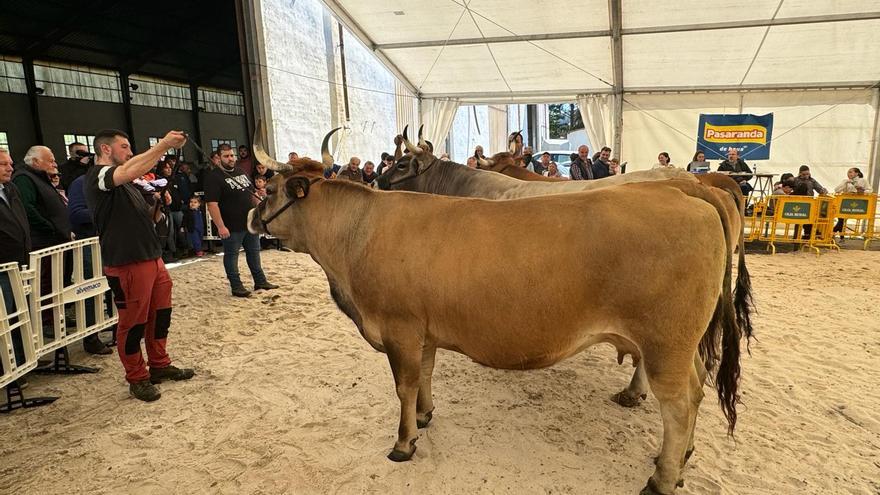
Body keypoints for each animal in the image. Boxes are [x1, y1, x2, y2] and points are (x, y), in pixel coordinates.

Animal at [248, 129, 744, 495]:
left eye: (269, 188)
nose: (252, 219)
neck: (359, 232)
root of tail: (689, 193)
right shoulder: (423, 330)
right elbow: (424, 376)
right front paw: (425, 417)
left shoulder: (398, 328)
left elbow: (404, 385)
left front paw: (404, 443)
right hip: (681, 347)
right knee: (698, 387)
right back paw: (680, 459)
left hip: (664, 346)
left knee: (679, 404)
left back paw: (662, 477)